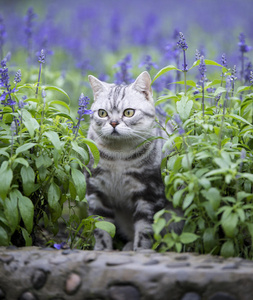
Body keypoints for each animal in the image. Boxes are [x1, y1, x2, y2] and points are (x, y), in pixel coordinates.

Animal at [87, 71, 180, 251]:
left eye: (128, 113)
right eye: (102, 113)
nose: (113, 122)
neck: (118, 156)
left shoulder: (149, 194)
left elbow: (145, 230)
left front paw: (140, 251)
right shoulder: (96, 190)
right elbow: (101, 229)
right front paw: (102, 249)